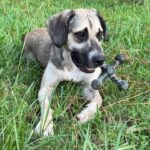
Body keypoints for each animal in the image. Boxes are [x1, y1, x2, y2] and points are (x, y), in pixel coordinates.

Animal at [22, 8, 109, 137]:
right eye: (81, 34)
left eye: (99, 34)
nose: (101, 60)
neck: (72, 65)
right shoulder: (46, 88)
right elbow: (47, 107)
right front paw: (46, 125)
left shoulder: (89, 87)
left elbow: (99, 99)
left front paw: (86, 115)